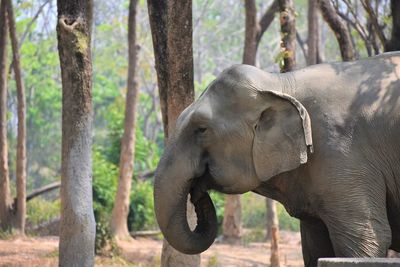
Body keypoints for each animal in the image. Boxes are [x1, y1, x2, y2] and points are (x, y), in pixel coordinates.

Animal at [153, 52, 400, 267]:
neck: (279, 84)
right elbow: (315, 244)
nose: (197, 190)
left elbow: (366, 238)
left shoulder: (343, 150)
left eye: (201, 129)